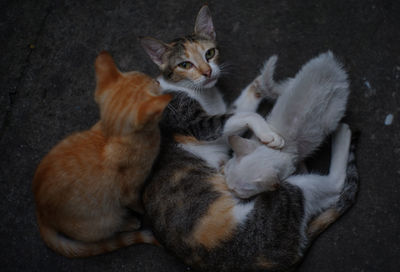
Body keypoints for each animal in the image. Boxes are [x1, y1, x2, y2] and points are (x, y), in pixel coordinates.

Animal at [32, 51, 172, 258]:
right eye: (154, 83)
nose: (157, 80)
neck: (110, 136)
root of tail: (40, 211)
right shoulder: (130, 192)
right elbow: (138, 203)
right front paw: (142, 212)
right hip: (105, 220)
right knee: (110, 227)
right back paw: (128, 222)